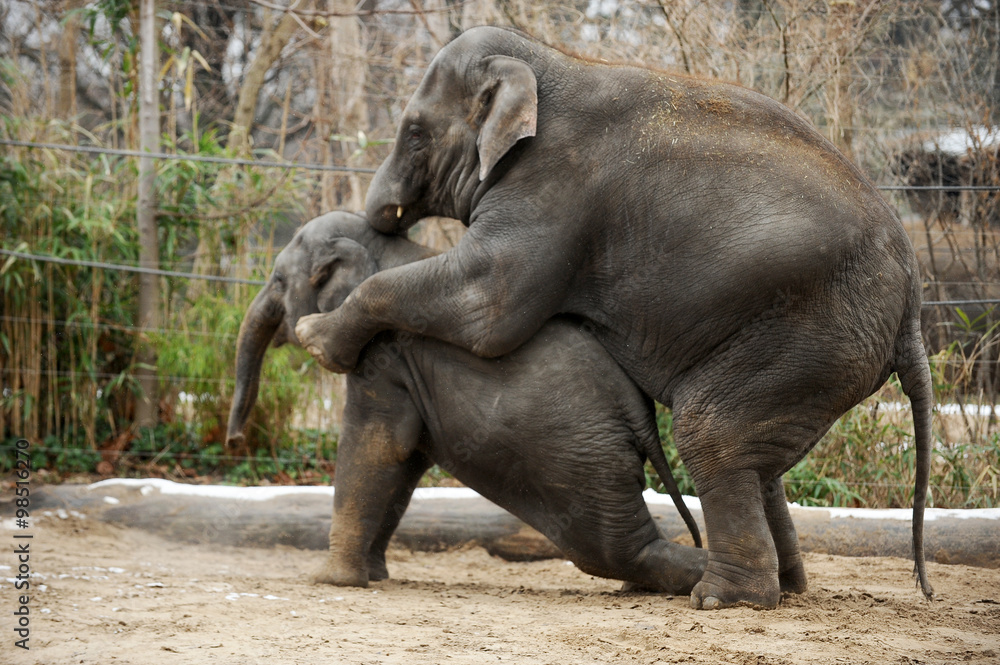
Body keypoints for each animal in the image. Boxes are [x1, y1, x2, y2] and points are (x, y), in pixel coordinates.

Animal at [226, 211, 707, 594]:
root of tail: (641, 415)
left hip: (584, 463)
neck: (387, 247)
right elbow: (405, 462)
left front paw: (331, 581)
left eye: (277, 280)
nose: (233, 441)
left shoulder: (382, 356)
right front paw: (375, 576)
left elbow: (376, 444)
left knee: (609, 550)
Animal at [294, 26, 935, 609]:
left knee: (711, 433)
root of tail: (912, 308)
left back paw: (722, 600)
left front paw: (315, 340)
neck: (551, 62)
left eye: (414, 133)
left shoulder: (554, 182)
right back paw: (781, 587)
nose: (377, 217)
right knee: (757, 459)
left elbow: (489, 304)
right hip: (818, 350)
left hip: (812, 332)